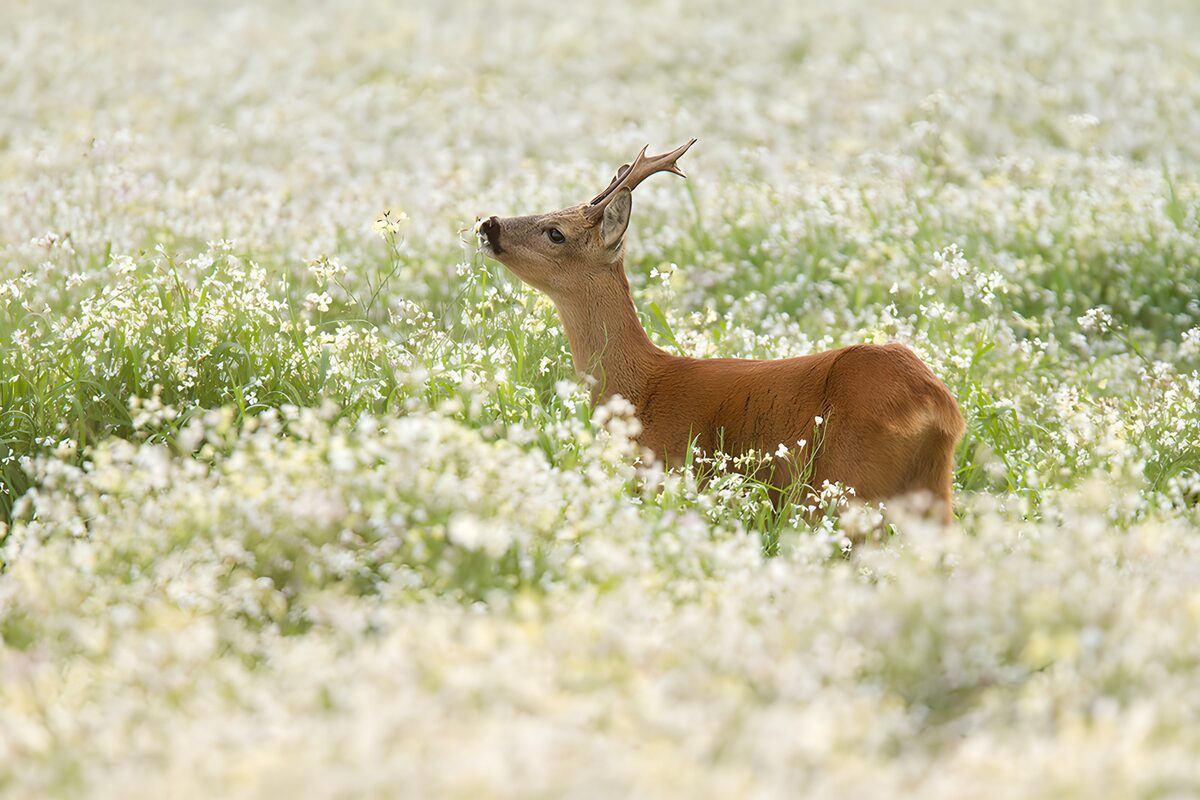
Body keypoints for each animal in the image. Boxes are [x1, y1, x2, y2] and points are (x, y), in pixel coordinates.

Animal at [476, 140, 965, 522]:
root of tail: (938, 406)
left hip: (846, 482)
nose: (488, 223)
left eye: (555, 232)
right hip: (931, 487)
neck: (638, 389)